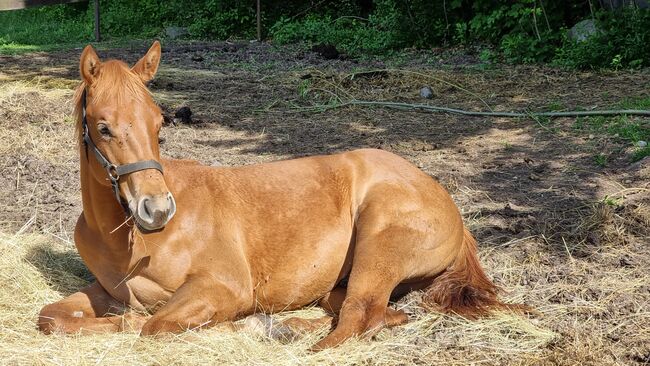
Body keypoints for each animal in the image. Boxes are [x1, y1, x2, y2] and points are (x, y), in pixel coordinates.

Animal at [36, 40, 528, 348]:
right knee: (375, 313)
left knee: (359, 318)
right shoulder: (104, 291)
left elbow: (151, 325)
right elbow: (53, 317)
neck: (131, 242)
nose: (157, 210)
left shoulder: (224, 287)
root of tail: (447, 201)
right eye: (103, 127)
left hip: (379, 246)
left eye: (160, 123)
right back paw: (285, 327)